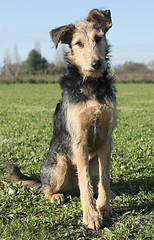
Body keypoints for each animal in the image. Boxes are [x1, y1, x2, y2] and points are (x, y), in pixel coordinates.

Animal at [5, 8, 116, 231]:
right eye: (78, 43)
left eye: (98, 38)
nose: (96, 64)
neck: (92, 87)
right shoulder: (79, 140)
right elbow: (85, 184)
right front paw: (91, 215)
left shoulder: (106, 140)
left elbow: (105, 179)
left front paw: (104, 208)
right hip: (60, 164)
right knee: (46, 189)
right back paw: (56, 196)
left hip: (93, 161)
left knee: (93, 182)